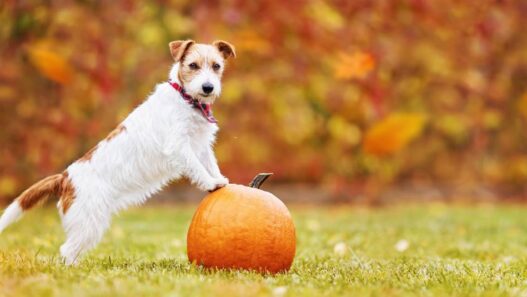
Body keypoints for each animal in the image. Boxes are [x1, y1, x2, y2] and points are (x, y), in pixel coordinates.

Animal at [0, 38, 235, 264]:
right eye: (193, 65)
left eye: (216, 66)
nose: (208, 87)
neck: (186, 99)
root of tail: (65, 177)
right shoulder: (179, 146)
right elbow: (197, 168)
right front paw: (211, 183)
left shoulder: (201, 145)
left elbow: (210, 164)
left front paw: (221, 180)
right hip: (89, 224)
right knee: (67, 251)